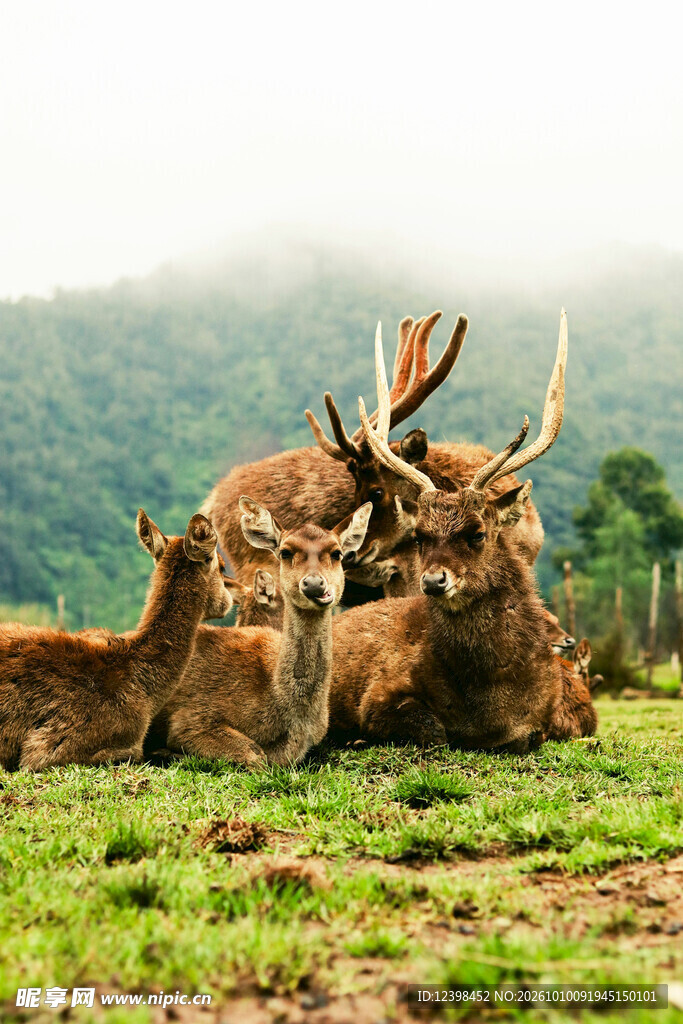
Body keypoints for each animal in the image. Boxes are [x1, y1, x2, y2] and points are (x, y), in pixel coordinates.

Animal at [328, 310, 597, 752]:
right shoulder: (379, 693)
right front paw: (356, 739)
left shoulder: (543, 717)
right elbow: (434, 731)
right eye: (420, 536)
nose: (434, 581)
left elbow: (527, 736)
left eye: (477, 533)